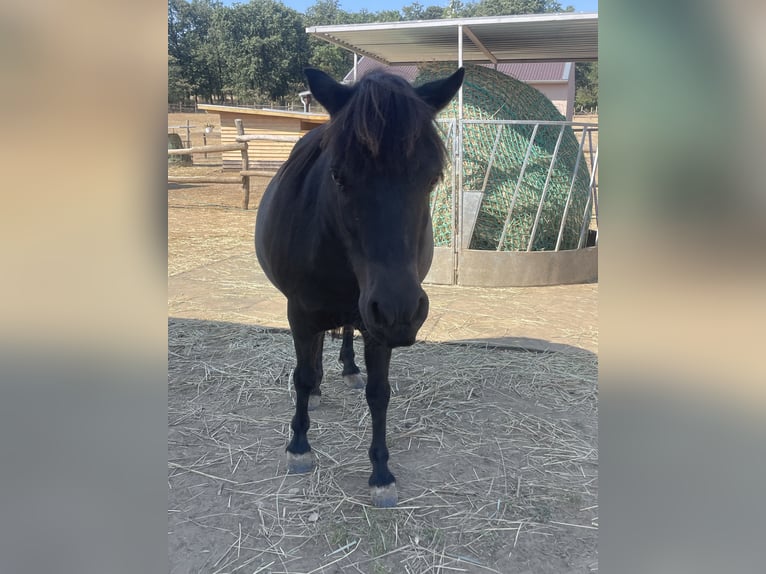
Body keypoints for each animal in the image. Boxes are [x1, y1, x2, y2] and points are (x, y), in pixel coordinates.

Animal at [255, 66, 464, 507]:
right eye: (338, 175)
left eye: (432, 177)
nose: (400, 311)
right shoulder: (300, 312)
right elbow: (301, 375)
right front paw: (299, 446)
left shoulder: (377, 325)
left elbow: (379, 392)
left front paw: (381, 472)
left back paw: (349, 367)